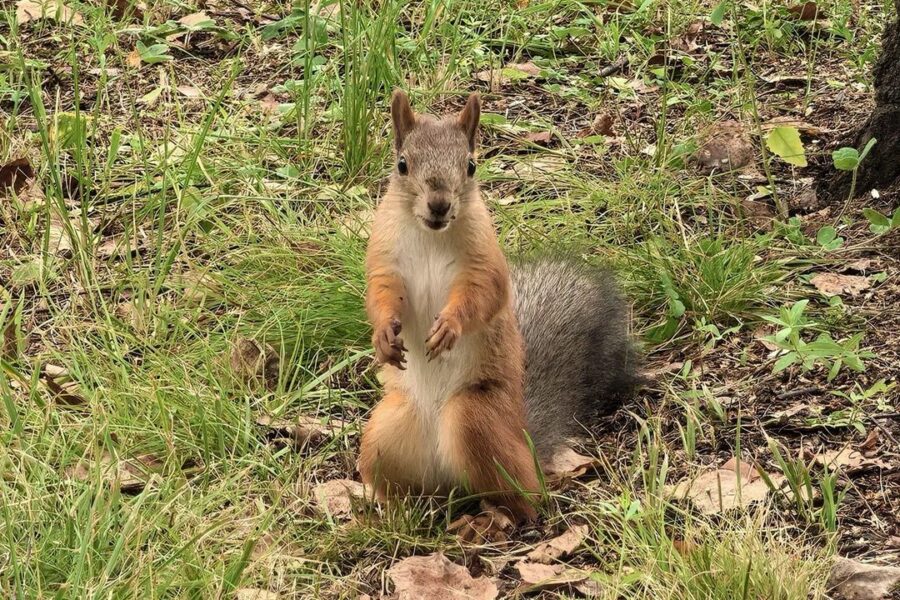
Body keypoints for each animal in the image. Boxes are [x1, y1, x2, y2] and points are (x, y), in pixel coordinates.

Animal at [358, 90, 640, 528]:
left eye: (470, 165)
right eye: (402, 163)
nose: (439, 204)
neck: (429, 236)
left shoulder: (485, 260)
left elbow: (482, 295)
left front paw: (450, 327)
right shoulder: (384, 257)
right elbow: (380, 294)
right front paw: (384, 335)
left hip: (475, 419)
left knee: (527, 496)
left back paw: (507, 517)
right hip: (384, 431)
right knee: (413, 490)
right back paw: (398, 512)